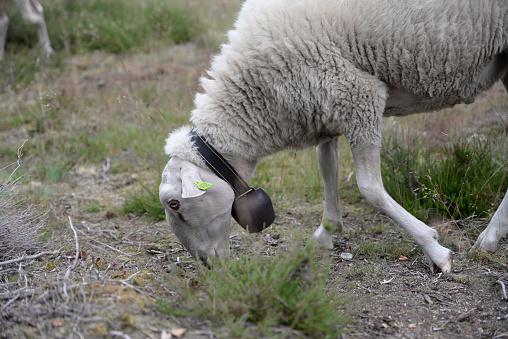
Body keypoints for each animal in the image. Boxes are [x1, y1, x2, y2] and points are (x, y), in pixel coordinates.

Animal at [160, 0, 508, 274]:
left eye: (175, 204)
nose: (207, 265)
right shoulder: (325, 106)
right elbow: (327, 167)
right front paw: (324, 234)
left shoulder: (359, 95)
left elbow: (370, 189)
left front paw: (435, 250)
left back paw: (488, 238)